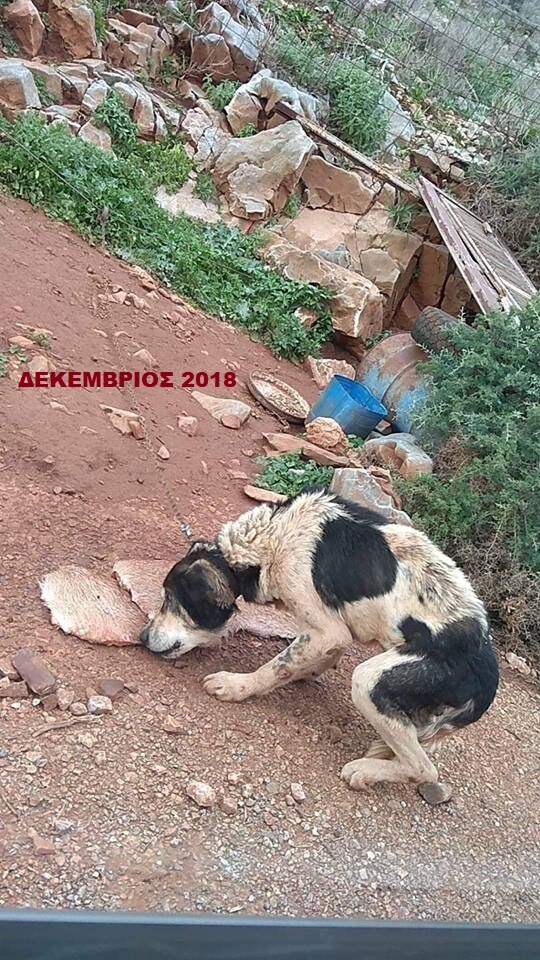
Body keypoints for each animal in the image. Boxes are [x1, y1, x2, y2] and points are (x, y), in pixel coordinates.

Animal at [141, 492, 500, 792]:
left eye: (172, 599)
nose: (142, 637)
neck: (271, 538)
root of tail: (485, 687)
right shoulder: (332, 630)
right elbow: (311, 655)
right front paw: (309, 670)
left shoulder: (327, 627)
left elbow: (277, 666)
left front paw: (237, 686)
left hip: (371, 679)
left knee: (425, 769)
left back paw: (364, 771)